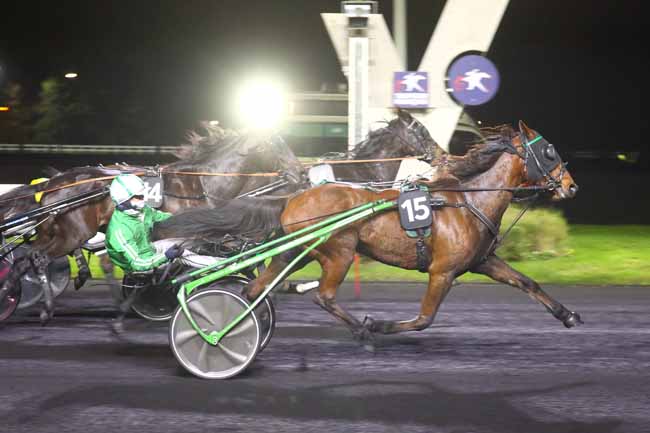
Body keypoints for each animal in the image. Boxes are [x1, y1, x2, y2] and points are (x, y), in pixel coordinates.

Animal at [0, 123, 306, 322]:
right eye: (276, 144)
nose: (301, 173)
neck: (202, 183)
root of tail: (54, 183)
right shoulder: (197, 238)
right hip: (73, 233)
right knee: (38, 258)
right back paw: (42, 305)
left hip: (55, 231)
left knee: (26, 258)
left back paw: (13, 290)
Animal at [158, 119, 584, 344]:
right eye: (548, 152)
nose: (571, 186)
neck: (466, 201)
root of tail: (292, 196)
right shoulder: (442, 271)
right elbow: (425, 318)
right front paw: (379, 324)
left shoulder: (483, 261)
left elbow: (527, 282)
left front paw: (567, 315)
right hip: (338, 253)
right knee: (322, 295)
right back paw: (361, 330)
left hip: (294, 251)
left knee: (257, 287)